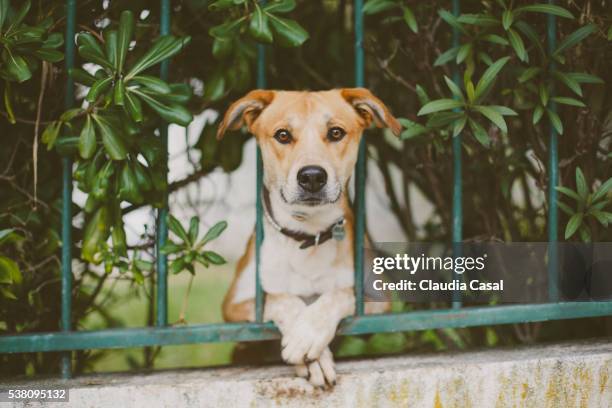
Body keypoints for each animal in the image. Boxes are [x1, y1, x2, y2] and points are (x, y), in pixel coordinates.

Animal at [216, 88, 402, 386]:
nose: (312, 176)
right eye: (282, 135)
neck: (308, 236)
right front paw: (310, 352)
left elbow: (340, 292)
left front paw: (308, 334)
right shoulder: (234, 303)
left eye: (336, 132)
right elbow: (278, 297)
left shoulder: (379, 301)